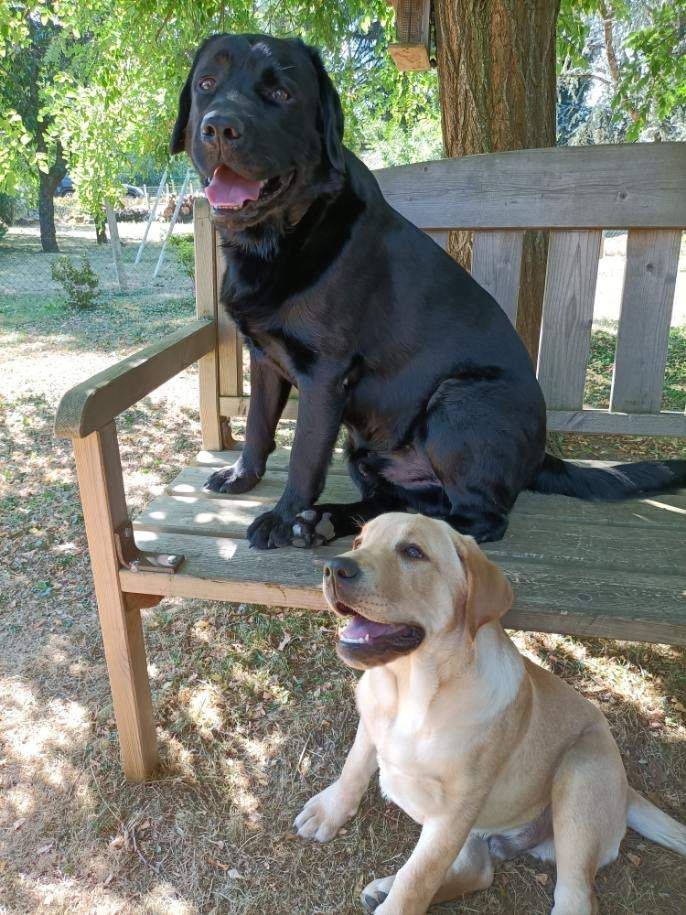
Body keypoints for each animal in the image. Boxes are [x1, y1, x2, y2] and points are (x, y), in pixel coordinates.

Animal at [169, 34, 684, 552]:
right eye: (207, 84)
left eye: (282, 94)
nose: (220, 127)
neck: (277, 240)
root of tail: (538, 458)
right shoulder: (265, 357)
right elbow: (258, 425)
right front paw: (243, 477)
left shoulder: (324, 375)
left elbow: (305, 458)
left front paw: (282, 517)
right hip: (364, 449)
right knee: (393, 501)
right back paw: (324, 521)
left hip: (458, 401)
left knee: (480, 518)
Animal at [296, 516, 686, 915]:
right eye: (358, 541)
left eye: (413, 552)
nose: (334, 567)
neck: (410, 694)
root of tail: (626, 790)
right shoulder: (373, 726)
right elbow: (354, 768)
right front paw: (329, 811)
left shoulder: (454, 811)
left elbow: (417, 880)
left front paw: (397, 901)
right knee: (478, 869)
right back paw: (383, 888)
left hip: (579, 775)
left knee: (573, 896)